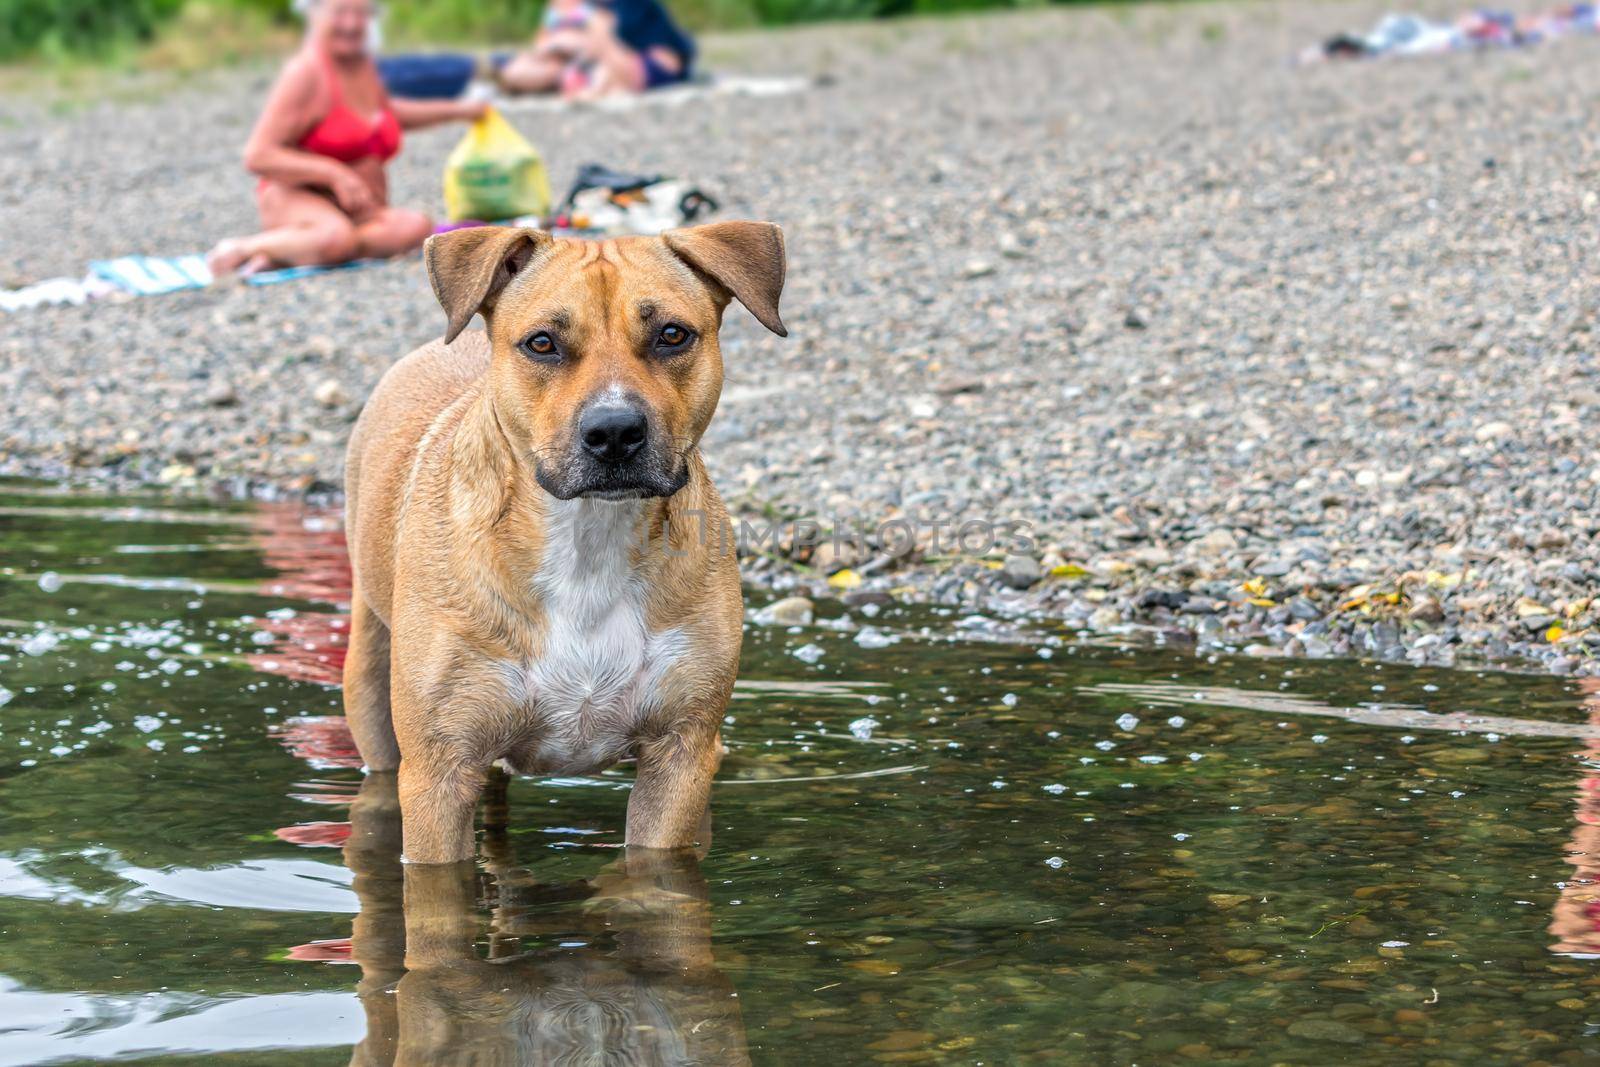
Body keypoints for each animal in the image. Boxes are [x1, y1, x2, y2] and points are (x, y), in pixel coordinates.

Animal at [344, 220, 787, 863]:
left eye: (672, 335)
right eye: (542, 343)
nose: (615, 431)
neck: (588, 539)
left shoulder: (679, 756)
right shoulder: (437, 775)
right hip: (374, 696)